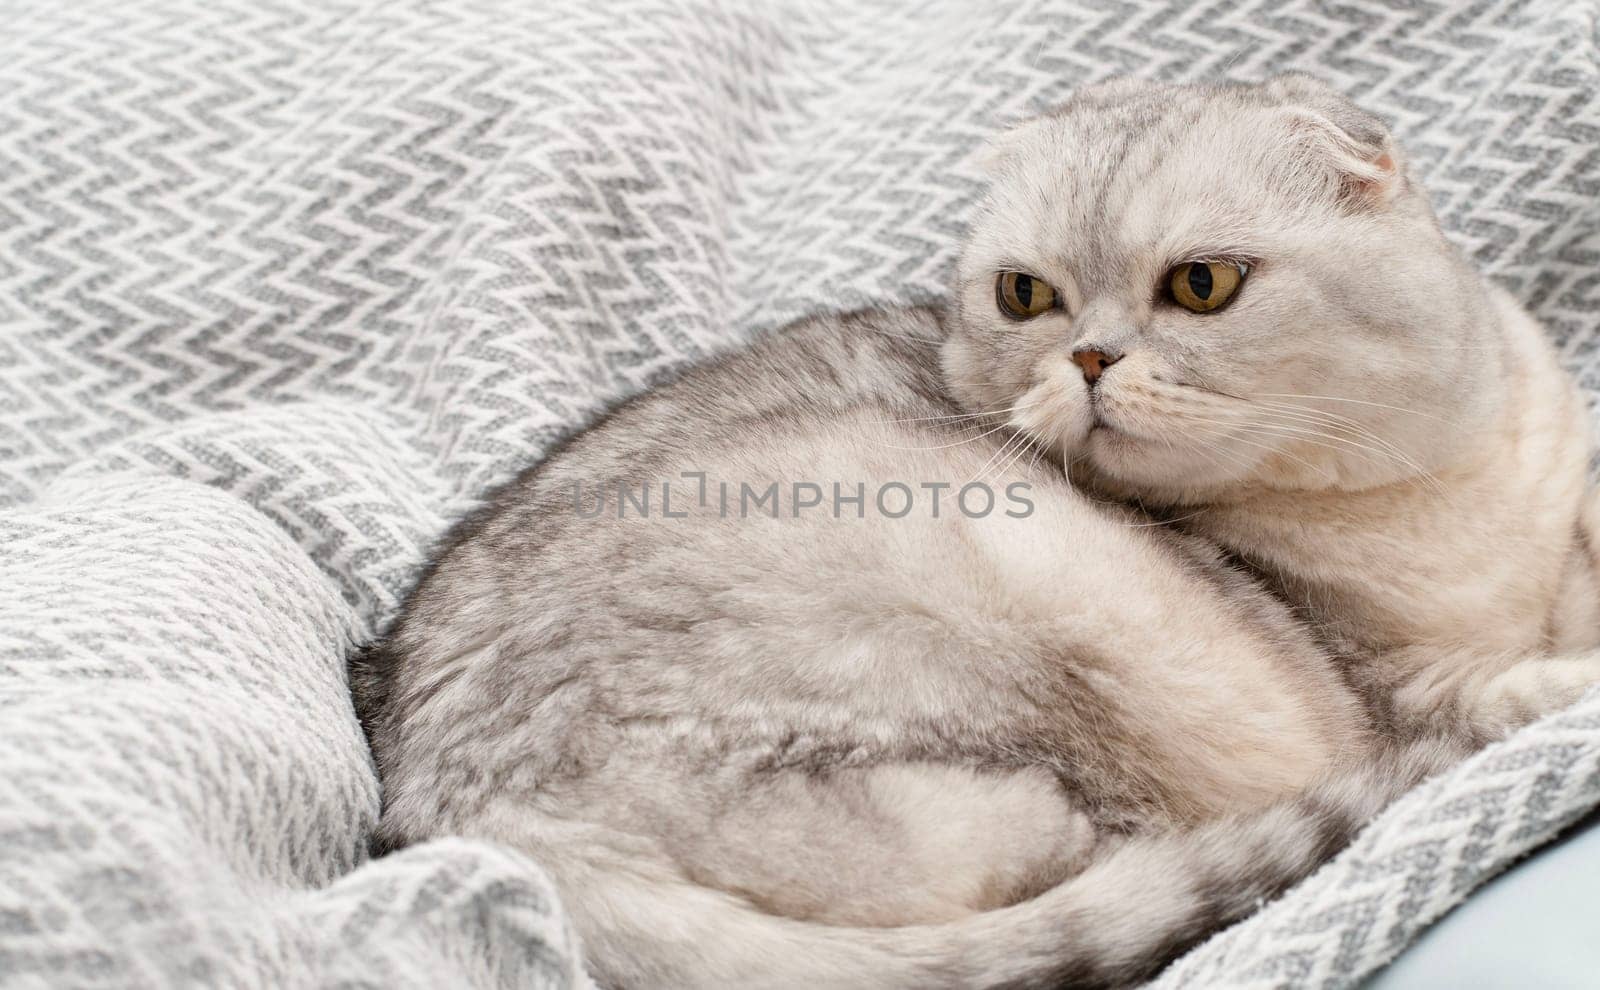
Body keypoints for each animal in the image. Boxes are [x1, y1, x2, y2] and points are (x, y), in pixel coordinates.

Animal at [347, 79, 1587, 990]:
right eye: (1025, 296)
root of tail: (494, 833)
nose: (1087, 357)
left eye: (1201, 284)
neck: (1438, 481)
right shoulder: (1391, 686)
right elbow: (1513, 693)